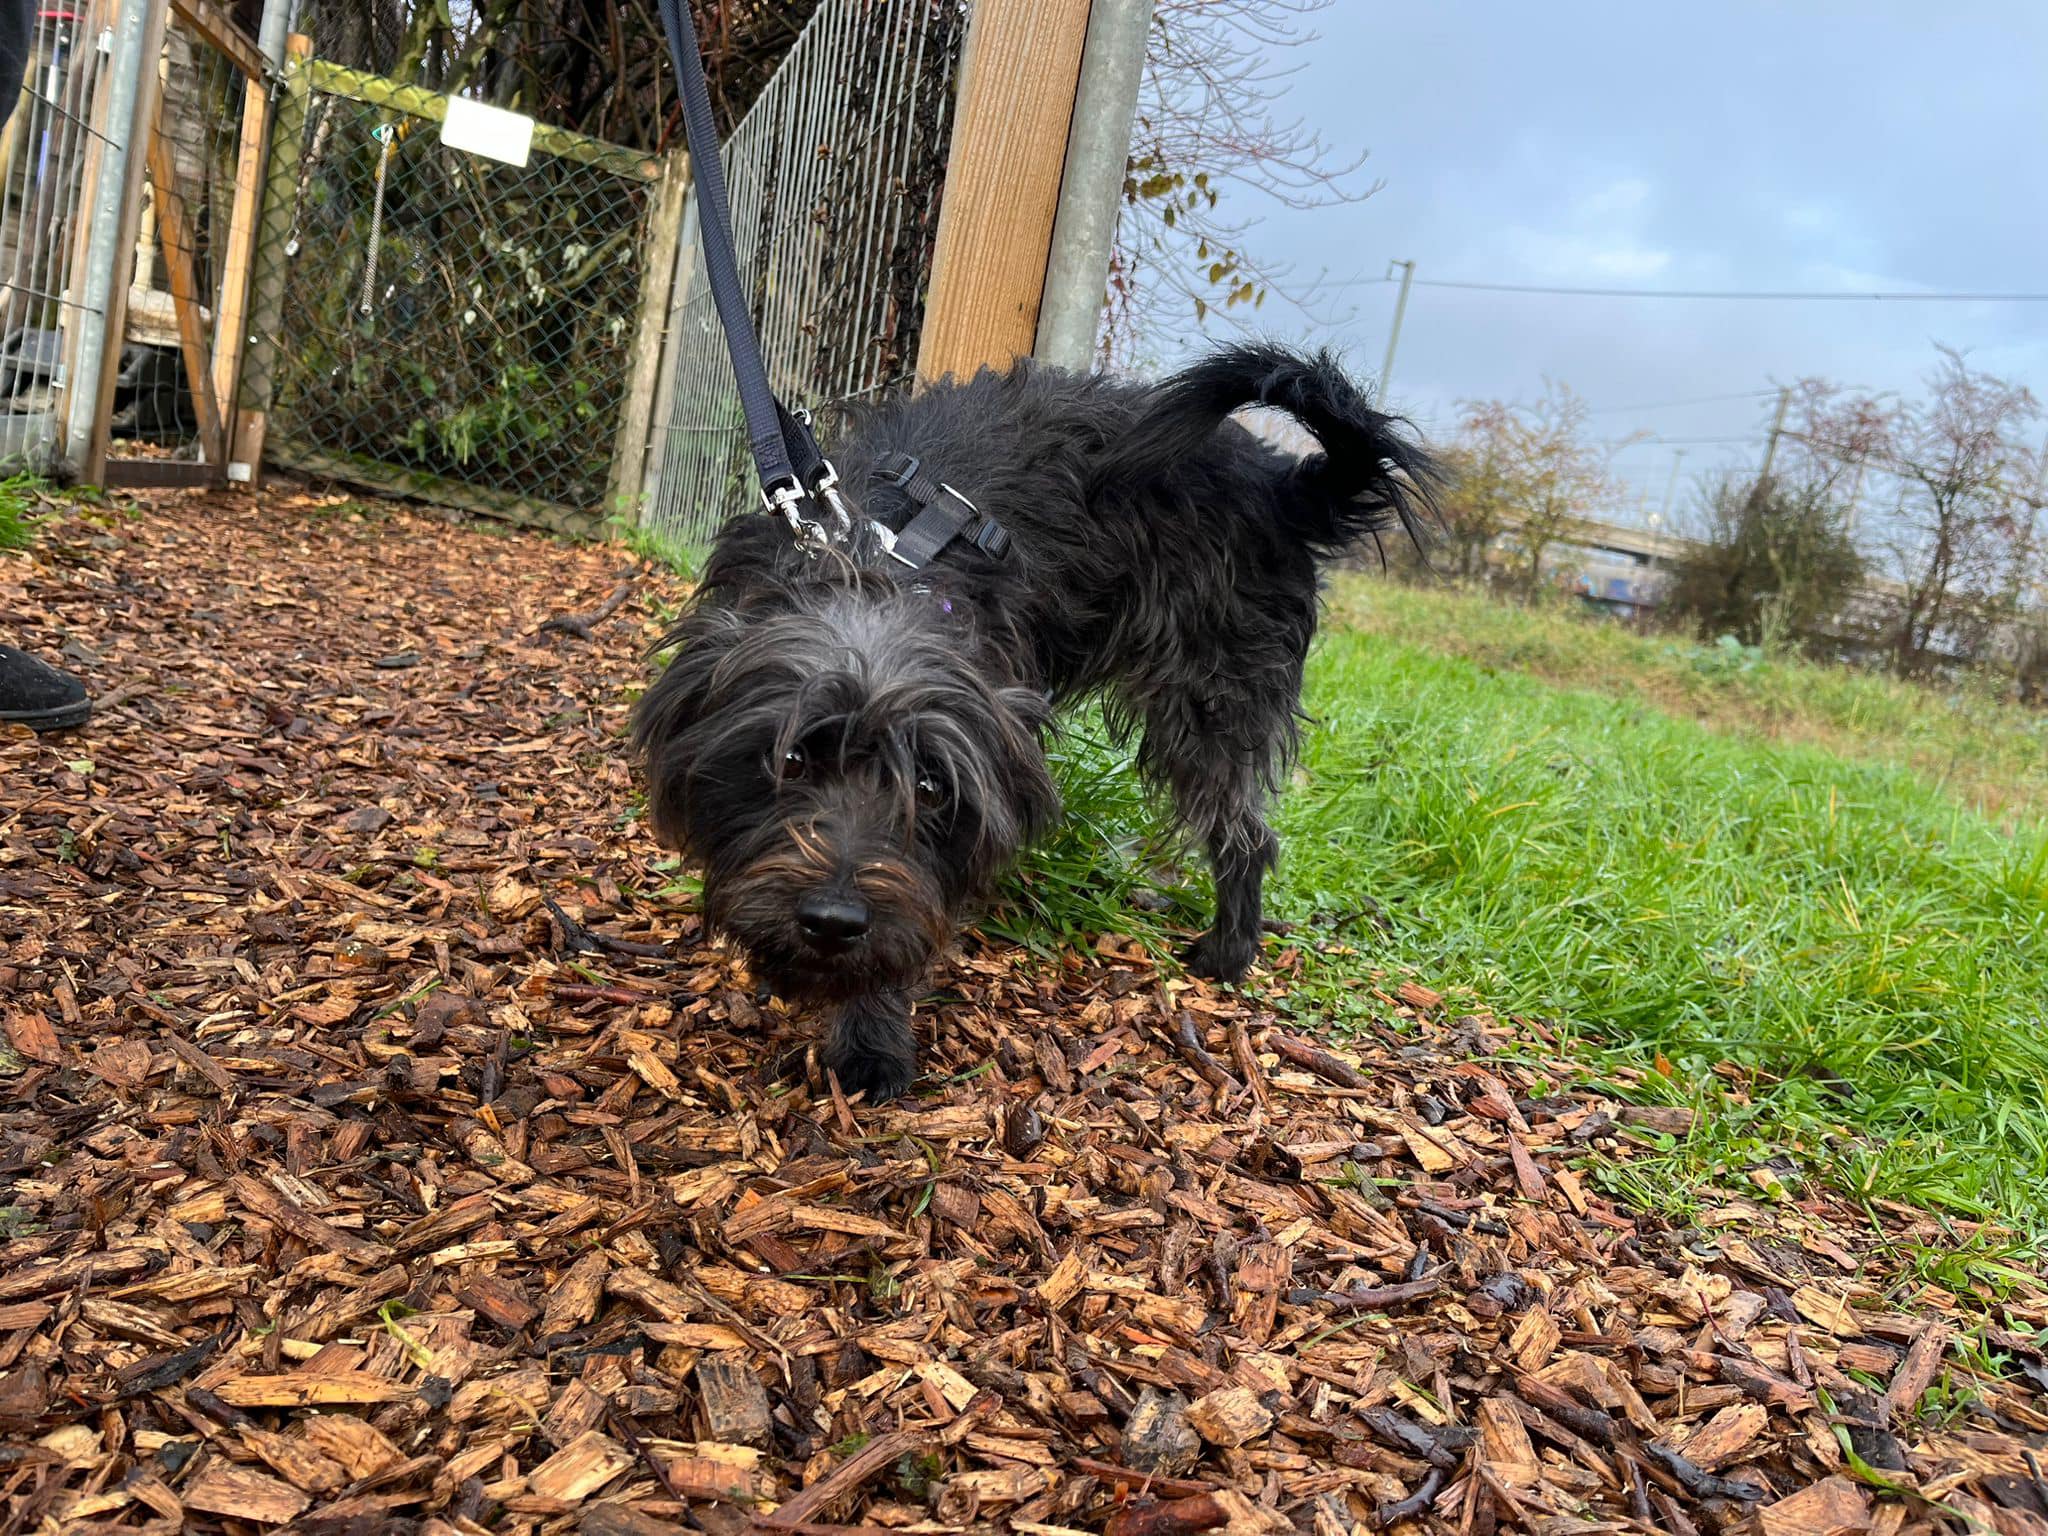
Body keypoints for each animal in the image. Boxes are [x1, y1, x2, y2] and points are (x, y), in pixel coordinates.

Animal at [631, 343, 1437, 1100]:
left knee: (1245, 832)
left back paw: (1226, 954)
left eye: (930, 789)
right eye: (789, 763)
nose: (832, 921)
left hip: (1209, 703)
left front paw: (868, 1032)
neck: (870, 564)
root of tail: (1285, 483)